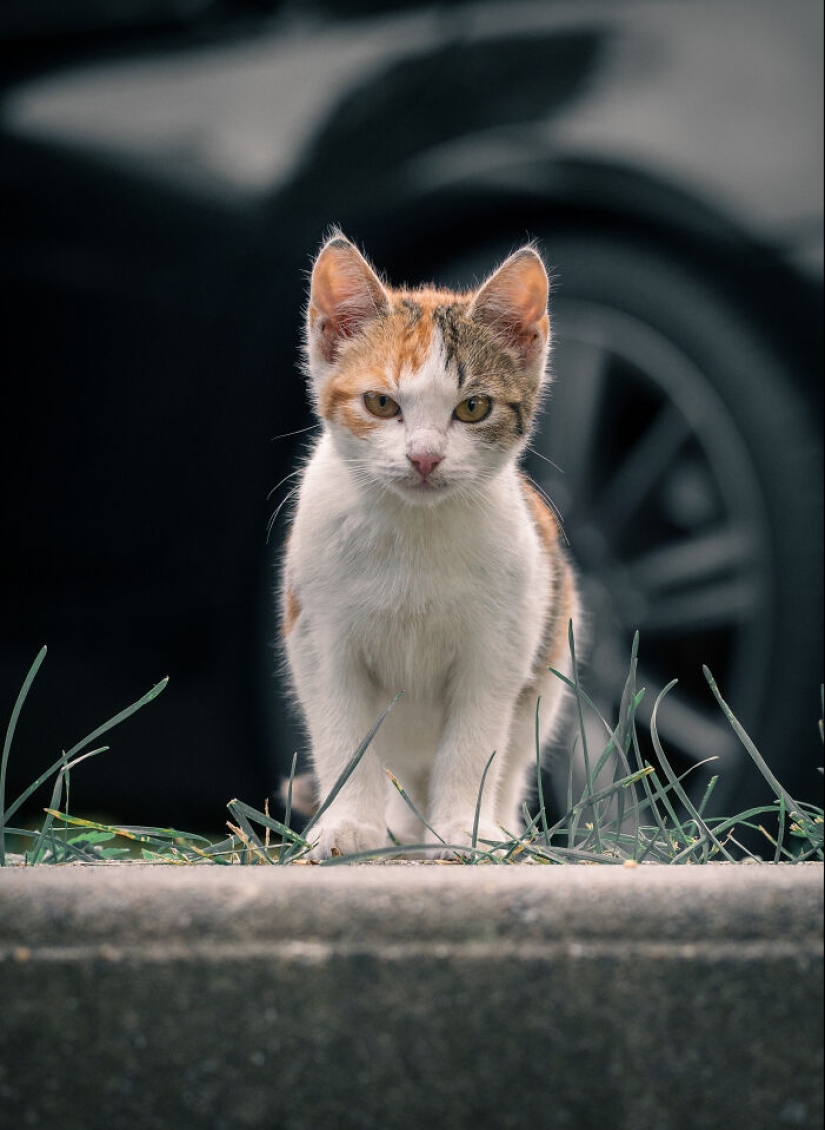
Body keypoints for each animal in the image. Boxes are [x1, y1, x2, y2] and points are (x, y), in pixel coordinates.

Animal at [279, 233, 576, 858]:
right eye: (381, 404)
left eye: (473, 408)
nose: (424, 457)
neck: (414, 531)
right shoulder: (318, 635)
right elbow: (343, 731)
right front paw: (347, 826)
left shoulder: (501, 643)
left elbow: (476, 740)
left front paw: (464, 829)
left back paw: (492, 827)